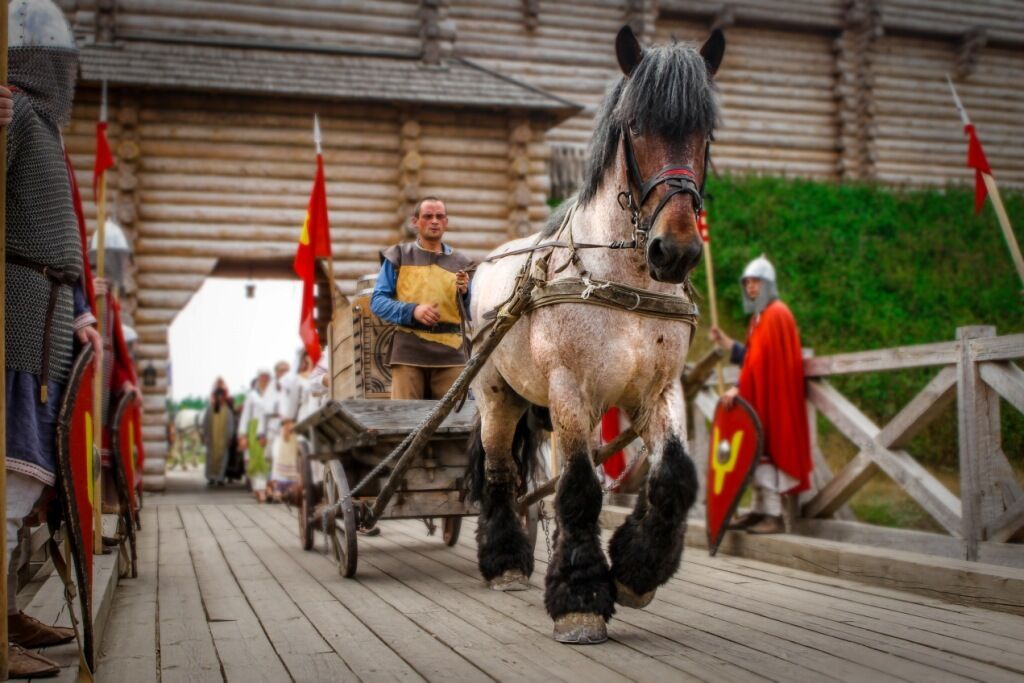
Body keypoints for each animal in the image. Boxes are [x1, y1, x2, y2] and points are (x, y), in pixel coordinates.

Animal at [468, 26, 724, 643]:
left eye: (704, 131)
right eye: (636, 126)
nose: (676, 251)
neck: (618, 276)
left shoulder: (657, 390)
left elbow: (674, 477)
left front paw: (635, 571)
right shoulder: (570, 389)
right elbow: (582, 487)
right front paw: (581, 597)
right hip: (496, 396)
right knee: (500, 473)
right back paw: (504, 560)